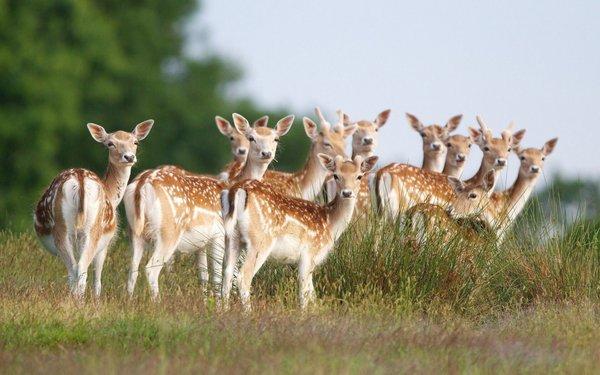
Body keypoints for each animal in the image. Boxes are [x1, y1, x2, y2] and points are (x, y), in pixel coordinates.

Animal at [33, 120, 155, 300]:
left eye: (135, 142)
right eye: (110, 143)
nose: (129, 157)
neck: (112, 195)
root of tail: (80, 182)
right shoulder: (106, 244)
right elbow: (98, 277)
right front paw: (97, 299)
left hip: (67, 230)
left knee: (74, 269)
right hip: (91, 230)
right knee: (80, 268)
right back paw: (79, 300)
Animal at [123, 113, 294, 298]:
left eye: (276, 138)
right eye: (251, 137)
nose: (266, 153)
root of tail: (141, 185)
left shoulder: (201, 244)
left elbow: (203, 276)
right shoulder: (219, 234)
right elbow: (218, 275)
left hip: (136, 231)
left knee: (132, 269)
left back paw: (130, 300)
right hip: (168, 231)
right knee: (150, 269)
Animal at [220, 153, 380, 312]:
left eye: (359, 176)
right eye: (336, 175)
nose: (347, 193)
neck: (330, 223)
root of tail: (236, 190)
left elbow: (312, 294)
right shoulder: (309, 253)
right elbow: (304, 292)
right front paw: (304, 314)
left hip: (232, 237)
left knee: (227, 274)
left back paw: (224, 310)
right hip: (260, 240)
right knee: (243, 277)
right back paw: (248, 313)